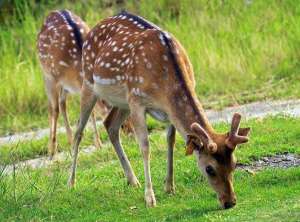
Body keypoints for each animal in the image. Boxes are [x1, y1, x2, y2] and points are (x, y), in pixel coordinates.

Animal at [38, 9, 134, 159]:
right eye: (123, 124)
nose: (131, 135)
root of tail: (52, 12)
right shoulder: (53, 78)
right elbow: (55, 110)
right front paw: (52, 151)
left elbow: (91, 112)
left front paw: (98, 144)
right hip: (46, 73)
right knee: (53, 107)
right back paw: (53, 149)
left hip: (64, 86)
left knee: (62, 103)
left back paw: (70, 142)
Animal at [68, 10, 251, 208]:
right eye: (209, 168)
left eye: (234, 163)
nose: (230, 202)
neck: (164, 82)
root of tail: (91, 30)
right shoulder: (137, 101)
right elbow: (145, 146)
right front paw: (150, 198)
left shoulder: (167, 109)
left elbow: (170, 140)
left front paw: (169, 186)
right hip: (89, 83)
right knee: (79, 131)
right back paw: (71, 183)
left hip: (122, 100)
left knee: (110, 125)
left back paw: (133, 180)